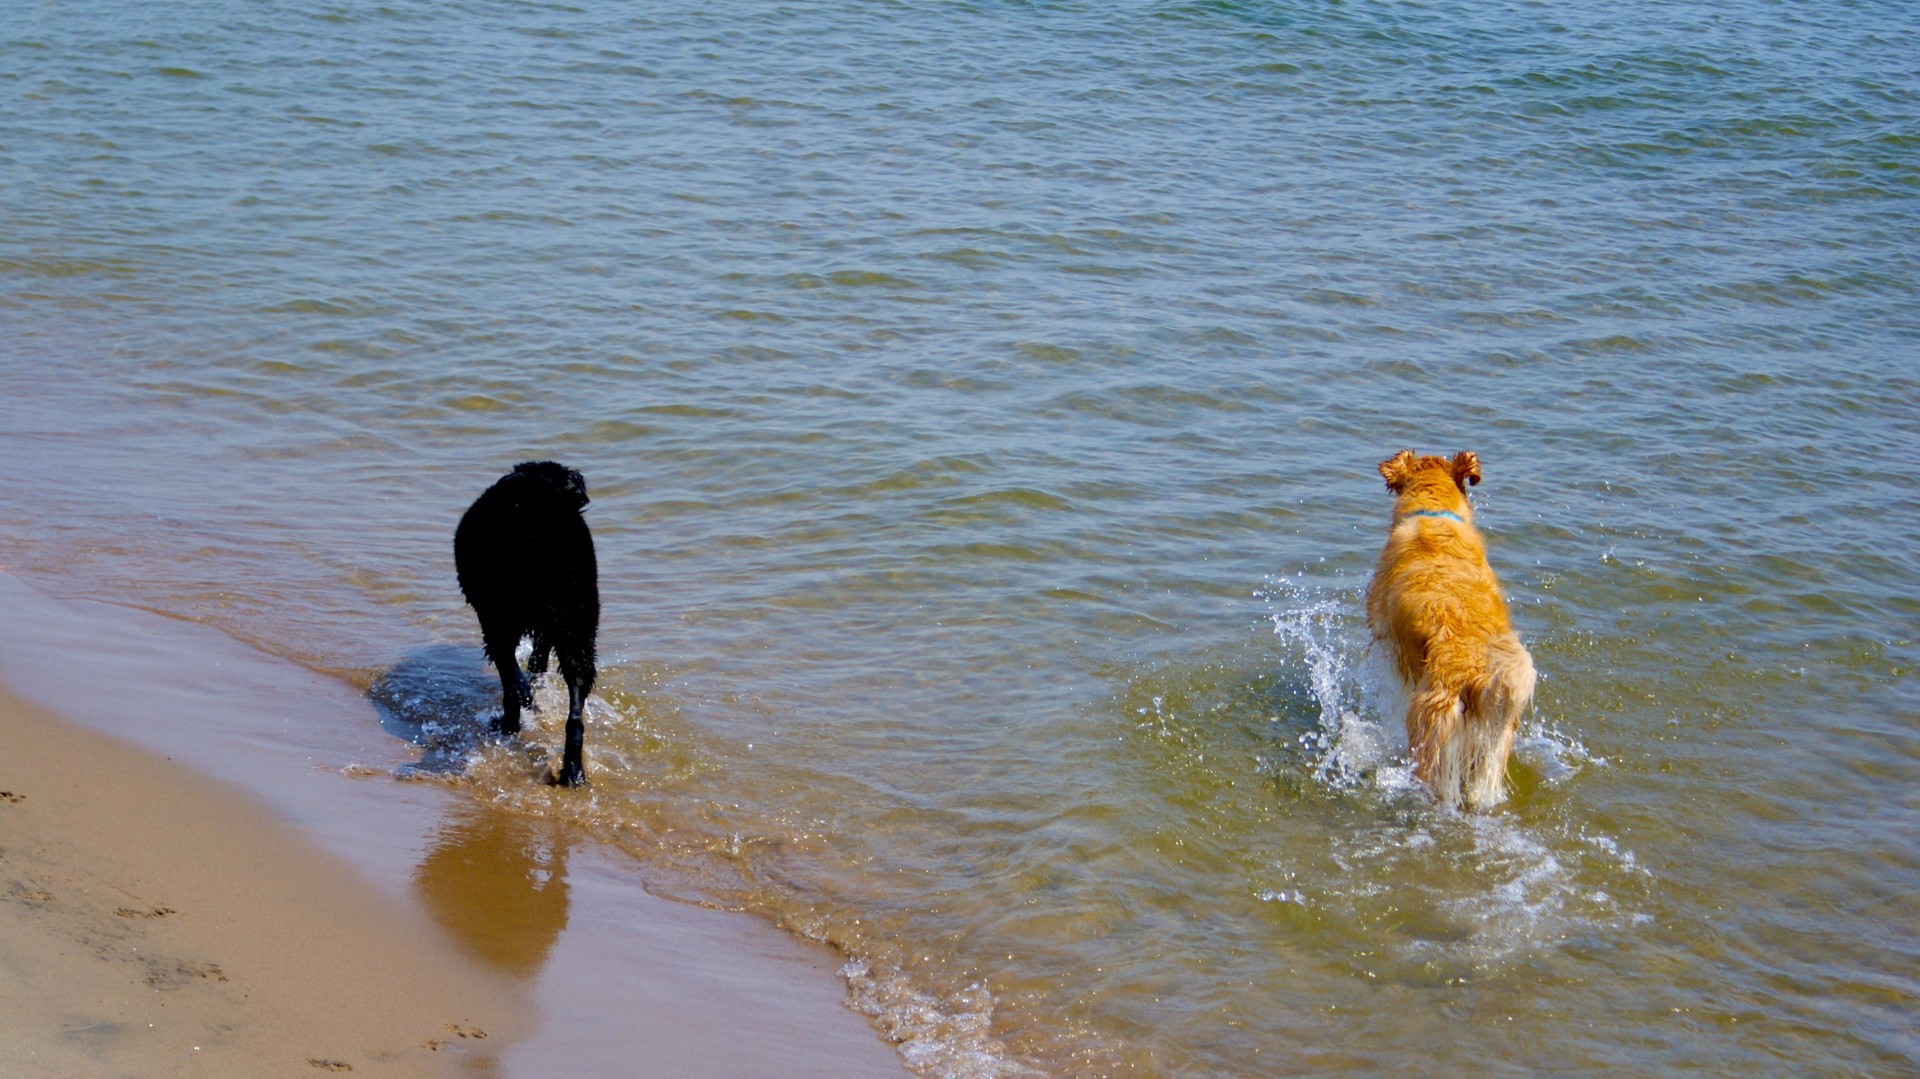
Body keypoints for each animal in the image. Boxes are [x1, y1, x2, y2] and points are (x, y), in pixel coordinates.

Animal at [451, 460, 595, 779]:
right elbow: (536, 660)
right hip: (577, 620)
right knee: (575, 711)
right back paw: (572, 771)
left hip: (498, 615)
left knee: (507, 670)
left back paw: (510, 723)